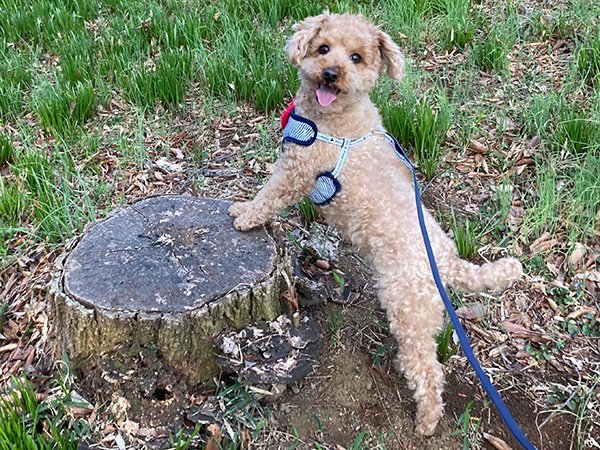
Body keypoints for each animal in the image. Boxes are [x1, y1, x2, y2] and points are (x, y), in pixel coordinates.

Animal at [229, 13, 520, 436]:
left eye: (357, 57)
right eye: (323, 48)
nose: (331, 73)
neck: (336, 117)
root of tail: (448, 263)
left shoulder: (295, 173)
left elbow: (268, 196)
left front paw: (244, 215)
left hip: (409, 313)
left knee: (429, 372)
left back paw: (425, 422)